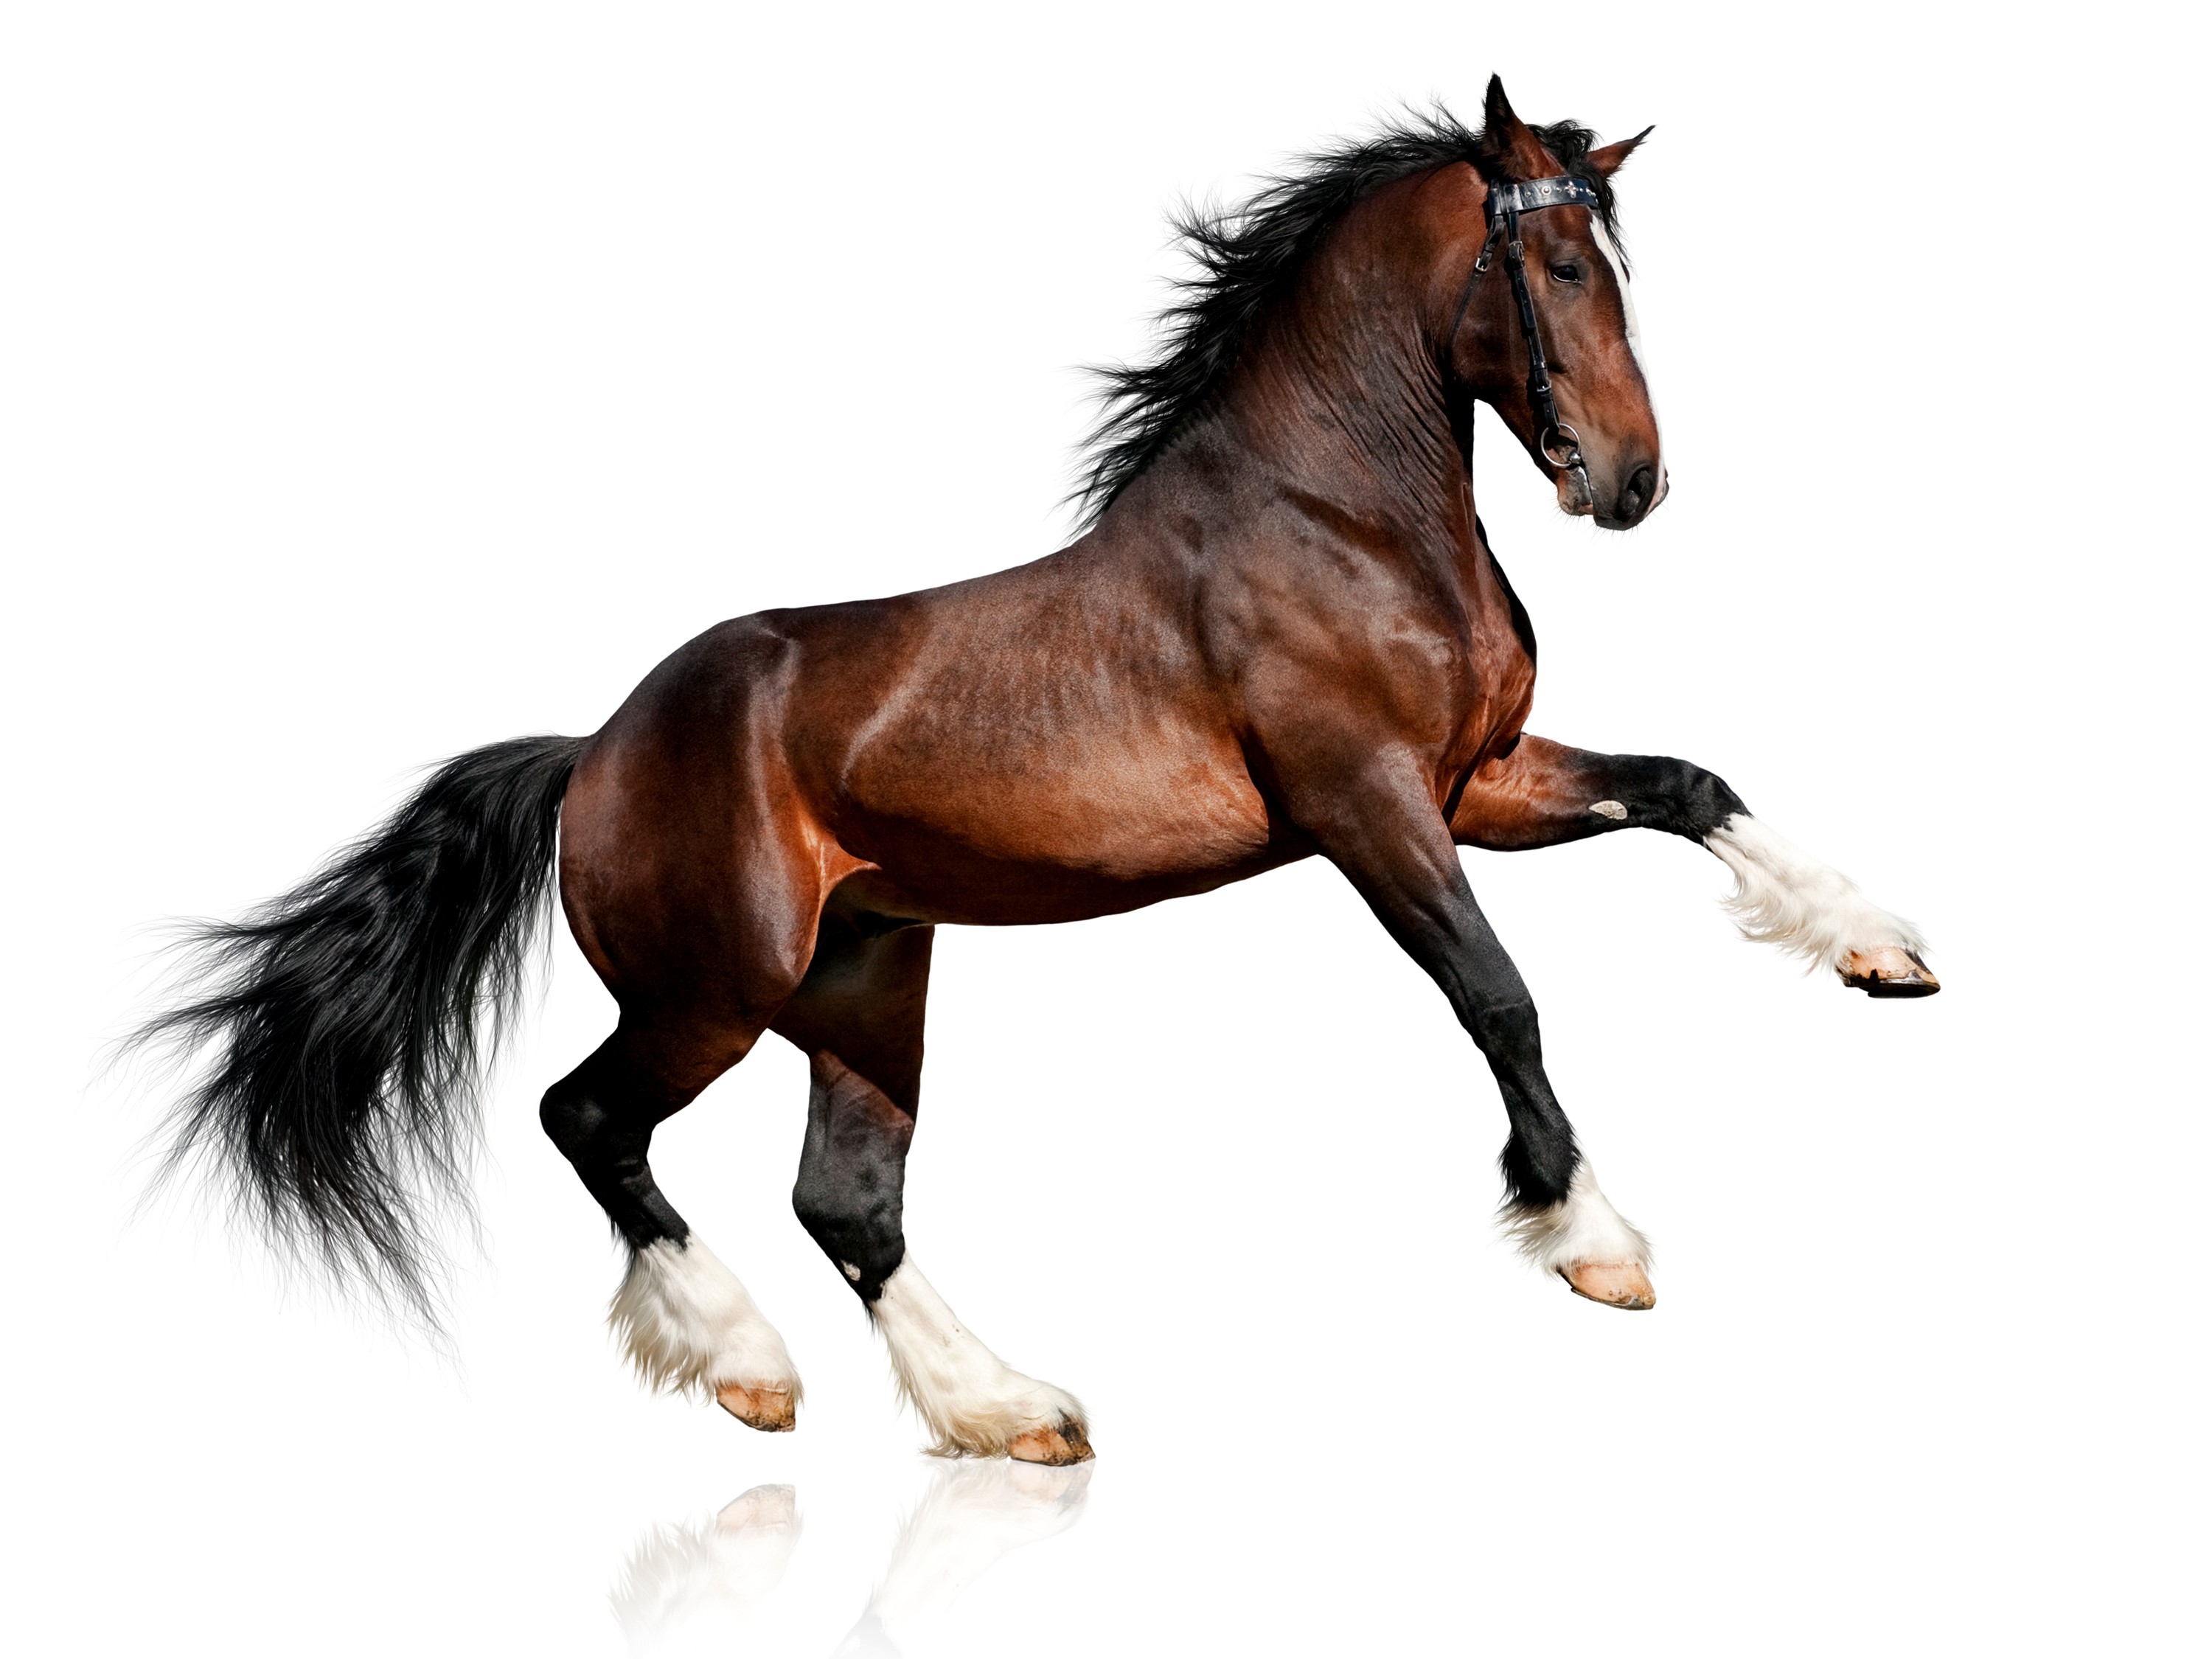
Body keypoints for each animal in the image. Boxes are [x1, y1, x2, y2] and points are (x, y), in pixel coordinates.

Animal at [138, 78, 1939, 1468]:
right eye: (1556, 261)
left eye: (1618, 264)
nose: (1628, 482)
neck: (1339, 515)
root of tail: (594, 752)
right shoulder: (1370, 808)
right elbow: (1500, 999)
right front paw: (1596, 1245)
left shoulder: (1478, 780)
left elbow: (1692, 786)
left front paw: (1882, 952)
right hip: (715, 989)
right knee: (588, 1120)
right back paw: (746, 1368)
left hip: (867, 980)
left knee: (847, 1205)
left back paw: (1004, 1411)